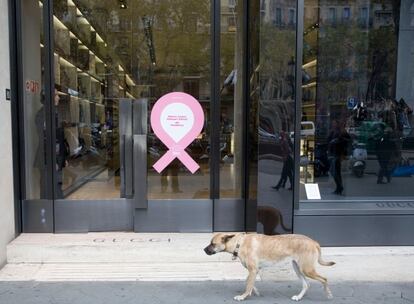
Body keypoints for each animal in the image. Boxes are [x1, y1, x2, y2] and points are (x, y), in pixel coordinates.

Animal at [205, 233, 336, 302]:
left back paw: (328, 294)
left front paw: (243, 296)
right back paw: (298, 297)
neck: (239, 243)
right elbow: (248, 281)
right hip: (298, 269)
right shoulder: (254, 270)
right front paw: (254, 291)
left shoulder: (253, 270)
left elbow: (248, 284)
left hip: (307, 269)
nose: (204, 250)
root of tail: (314, 242)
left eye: (213, 244)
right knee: (306, 284)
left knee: (324, 279)